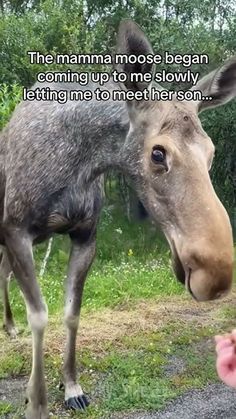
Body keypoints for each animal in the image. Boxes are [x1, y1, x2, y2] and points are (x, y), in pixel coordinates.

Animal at [0, 18, 235, 416]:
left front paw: (72, 386)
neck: (79, 164)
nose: (216, 273)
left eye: (211, 152)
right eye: (158, 153)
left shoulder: (84, 236)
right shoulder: (16, 230)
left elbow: (71, 312)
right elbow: (40, 315)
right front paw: (36, 401)